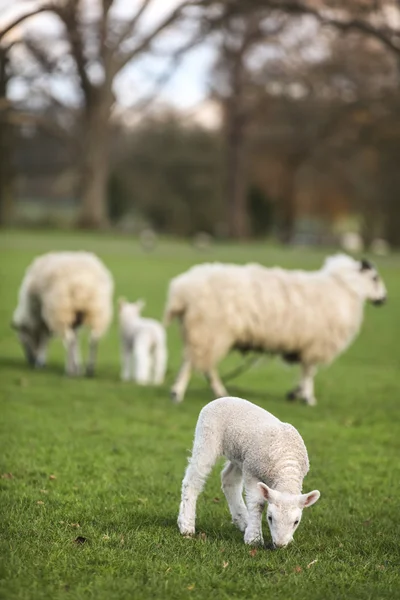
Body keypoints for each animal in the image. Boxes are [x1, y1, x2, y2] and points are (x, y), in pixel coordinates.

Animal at [164, 255, 386, 406]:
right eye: (375, 278)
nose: (384, 299)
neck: (346, 289)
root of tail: (181, 290)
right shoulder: (316, 344)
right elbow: (309, 372)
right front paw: (308, 398)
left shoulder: (306, 345)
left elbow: (304, 371)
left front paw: (297, 393)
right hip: (210, 330)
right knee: (196, 364)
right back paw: (180, 393)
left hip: (198, 331)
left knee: (198, 362)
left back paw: (212, 391)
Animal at [177, 398, 318, 548]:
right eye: (270, 518)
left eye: (296, 522)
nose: (279, 544)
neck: (286, 468)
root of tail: (222, 399)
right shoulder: (252, 472)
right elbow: (257, 504)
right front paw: (254, 539)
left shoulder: (249, 465)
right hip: (207, 437)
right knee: (193, 480)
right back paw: (186, 524)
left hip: (239, 456)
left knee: (228, 479)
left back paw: (243, 521)